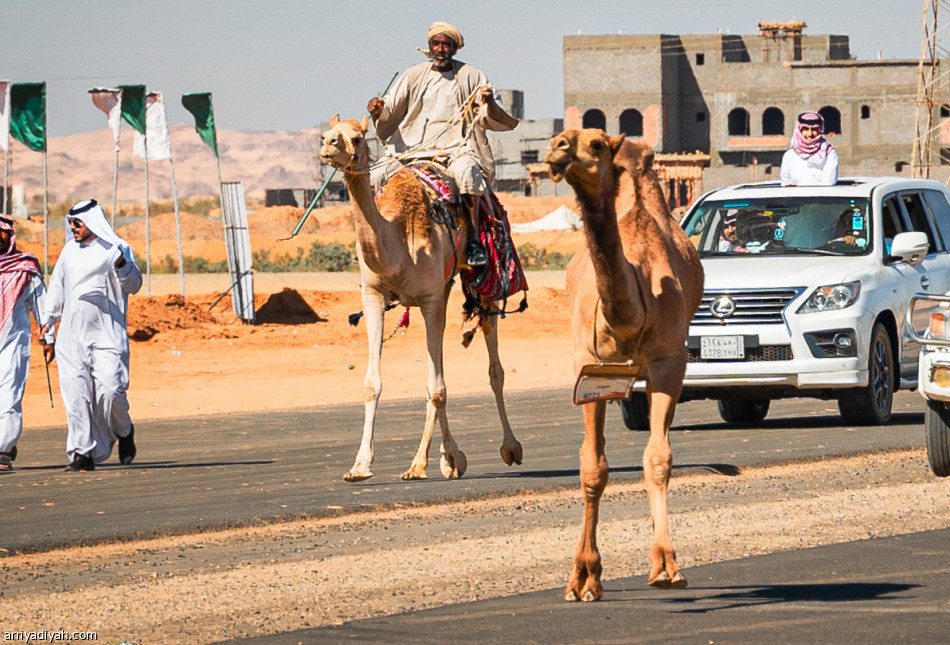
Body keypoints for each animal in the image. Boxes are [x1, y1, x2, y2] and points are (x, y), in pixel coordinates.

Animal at [322, 114, 528, 478]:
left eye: (358, 138)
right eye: (326, 134)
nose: (327, 147)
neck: (397, 241)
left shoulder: (430, 298)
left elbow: (438, 387)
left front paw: (448, 458)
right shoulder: (374, 296)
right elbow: (375, 383)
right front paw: (360, 465)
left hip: (480, 285)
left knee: (493, 368)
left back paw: (507, 448)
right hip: (441, 292)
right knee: (438, 370)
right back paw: (432, 461)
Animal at [548, 130, 704, 600]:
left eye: (597, 144)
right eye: (561, 138)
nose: (558, 150)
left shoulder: (670, 361)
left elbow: (658, 458)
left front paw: (666, 565)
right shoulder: (588, 366)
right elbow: (592, 467)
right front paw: (583, 576)